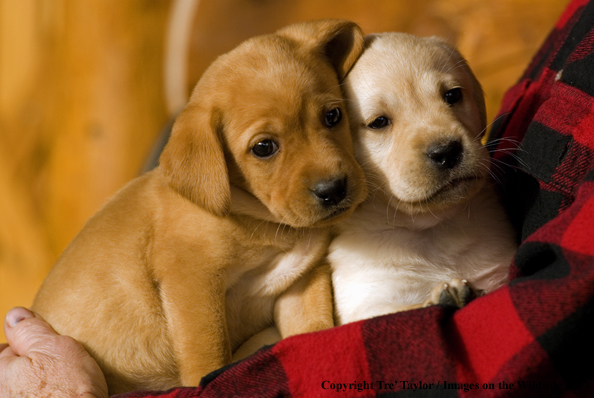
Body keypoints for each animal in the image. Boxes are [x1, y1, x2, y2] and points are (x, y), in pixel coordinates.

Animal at [33, 20, 366, 394]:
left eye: (333, 116)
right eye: (264, 147)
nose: (333, 190)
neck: (261, 220)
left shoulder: (301, 281)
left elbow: (313, 332)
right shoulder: (192, 282)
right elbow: (208, 355)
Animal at [330, 33, 516, 326]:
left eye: (452, 95)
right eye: (379, 122)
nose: (446, 152)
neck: (430, 226)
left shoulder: (498, 271)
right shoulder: (369, 303)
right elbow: (404, 310)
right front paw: (447, 297)